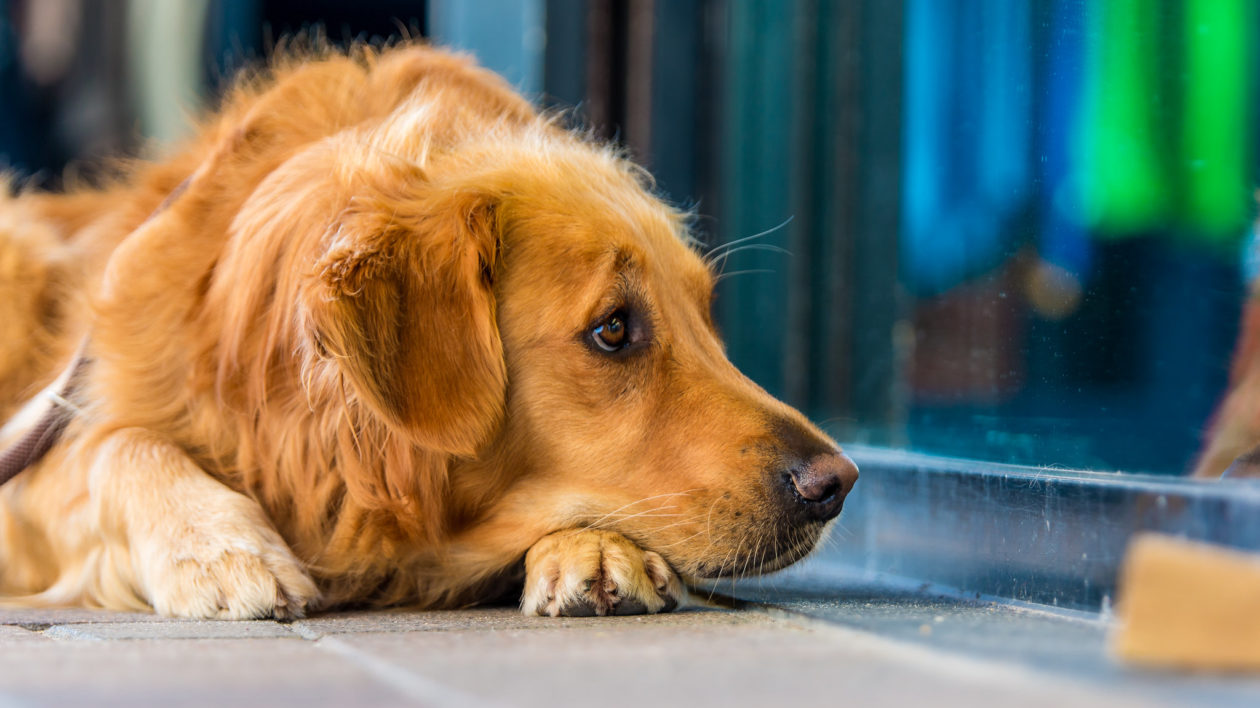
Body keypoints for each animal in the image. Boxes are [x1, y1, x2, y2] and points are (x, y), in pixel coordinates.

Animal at [0, 45, 856, 617]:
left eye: (706, 317)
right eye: (614, 329)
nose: (838, 482)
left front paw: (598, 545)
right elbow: (116, 446)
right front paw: (216, 547)